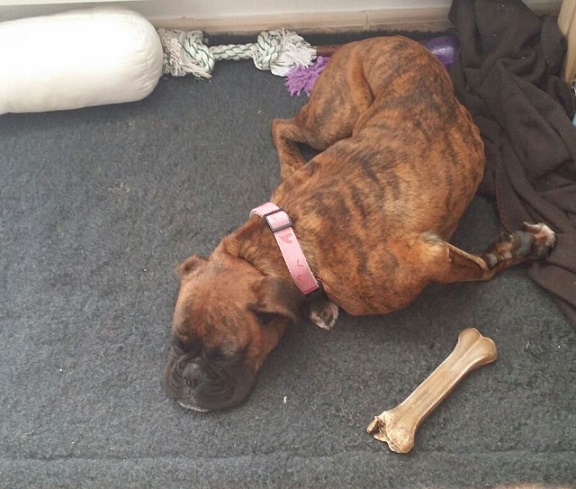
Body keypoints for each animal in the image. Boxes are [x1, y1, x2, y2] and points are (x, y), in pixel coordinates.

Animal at [163, 36, 556, 412]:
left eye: (225, 356)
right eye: (177, 342)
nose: (191, 376)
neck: (285, 242)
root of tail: (378, 39)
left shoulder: (432, 258)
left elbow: (481, 269)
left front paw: (521, 246)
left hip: (333, 121)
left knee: (282, 124)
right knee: (281, 125)